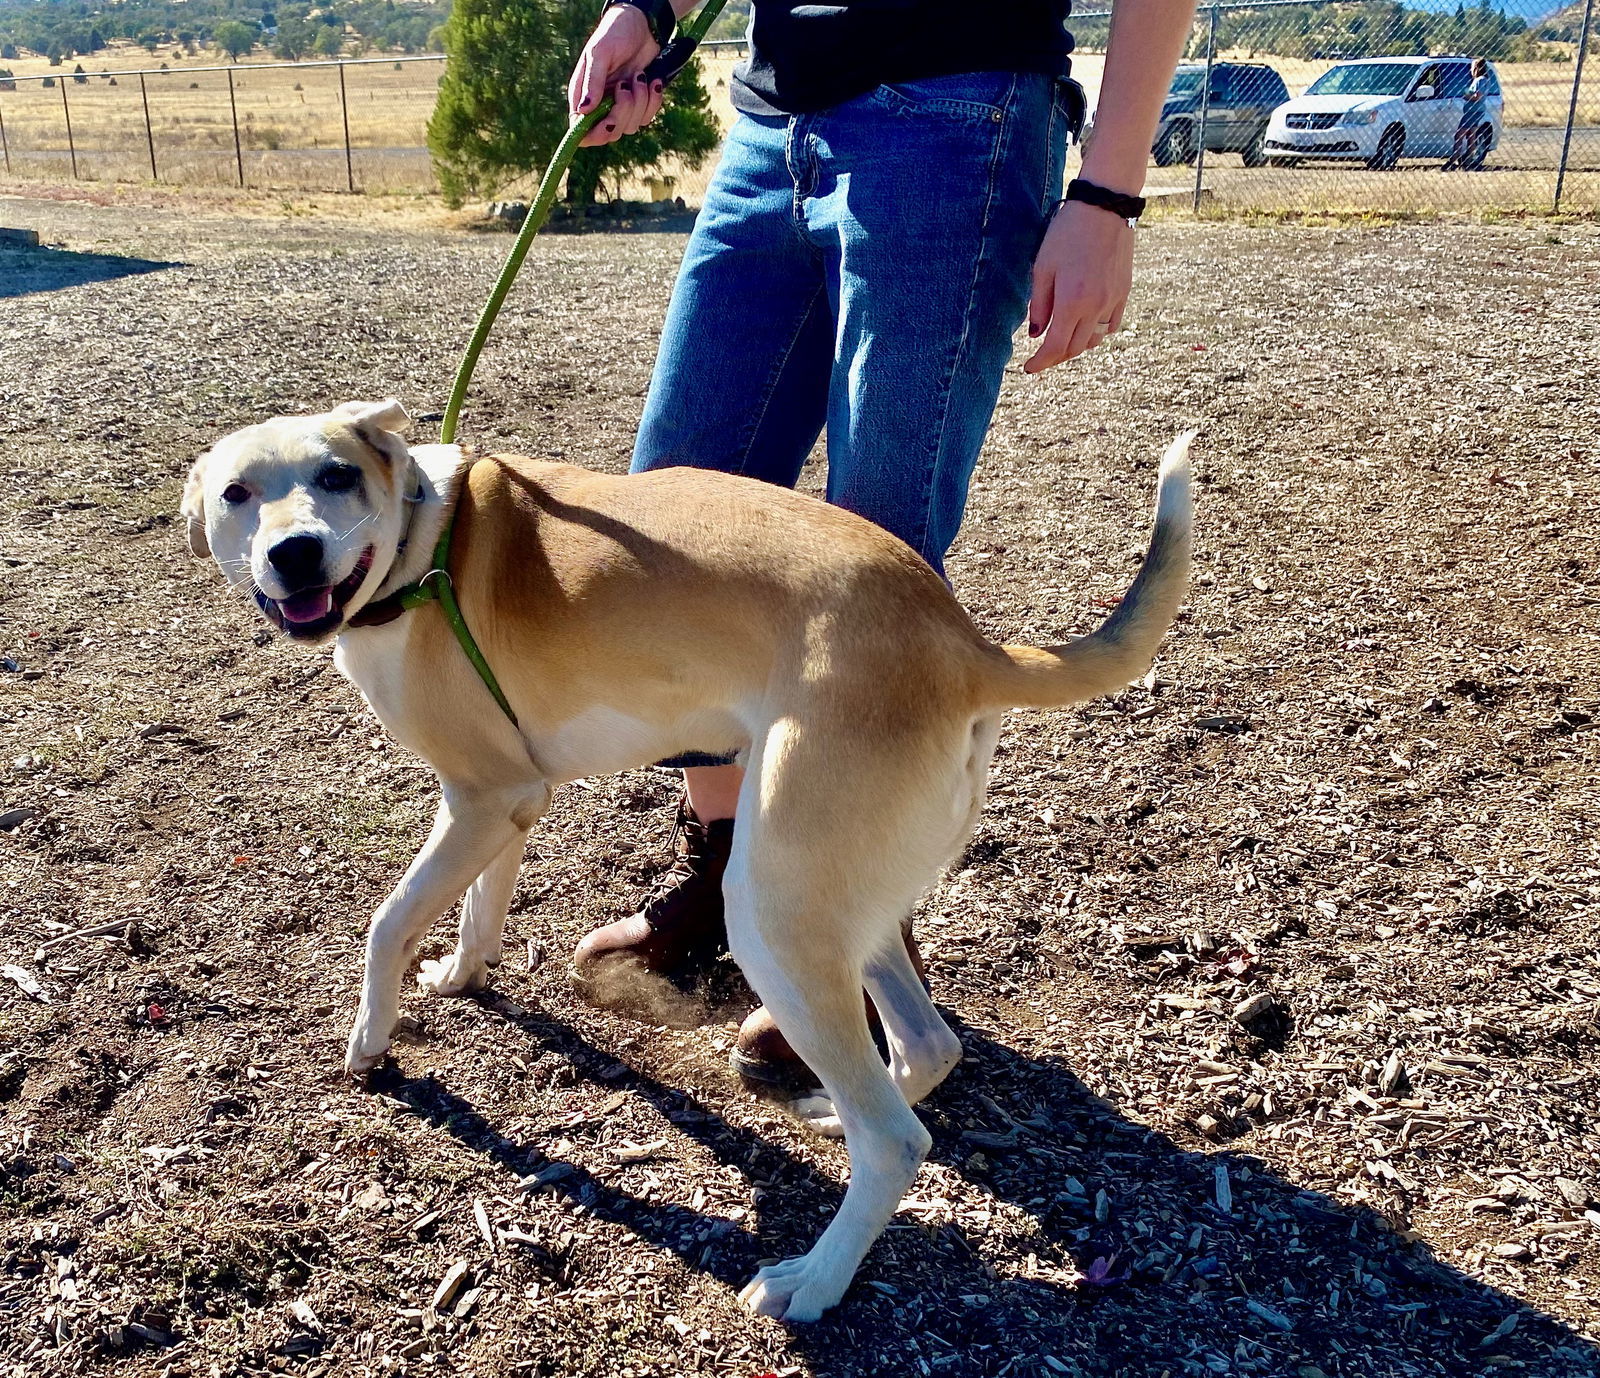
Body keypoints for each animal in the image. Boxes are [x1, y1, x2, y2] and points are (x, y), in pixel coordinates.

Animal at [181, 400, 1196, 1325]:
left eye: (336, 476)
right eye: (237, 494)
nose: (295, 553)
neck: (420, 549)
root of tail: (964, 642)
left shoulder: (476, 798)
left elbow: (387, 923)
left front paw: (370, 1040)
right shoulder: (508, 802)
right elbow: (477, 910)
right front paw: (460, 977)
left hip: (772, 913)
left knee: (896, 1141)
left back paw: (811, 1282)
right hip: (833, 907)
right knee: (925, 1047)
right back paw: (831, 1115)